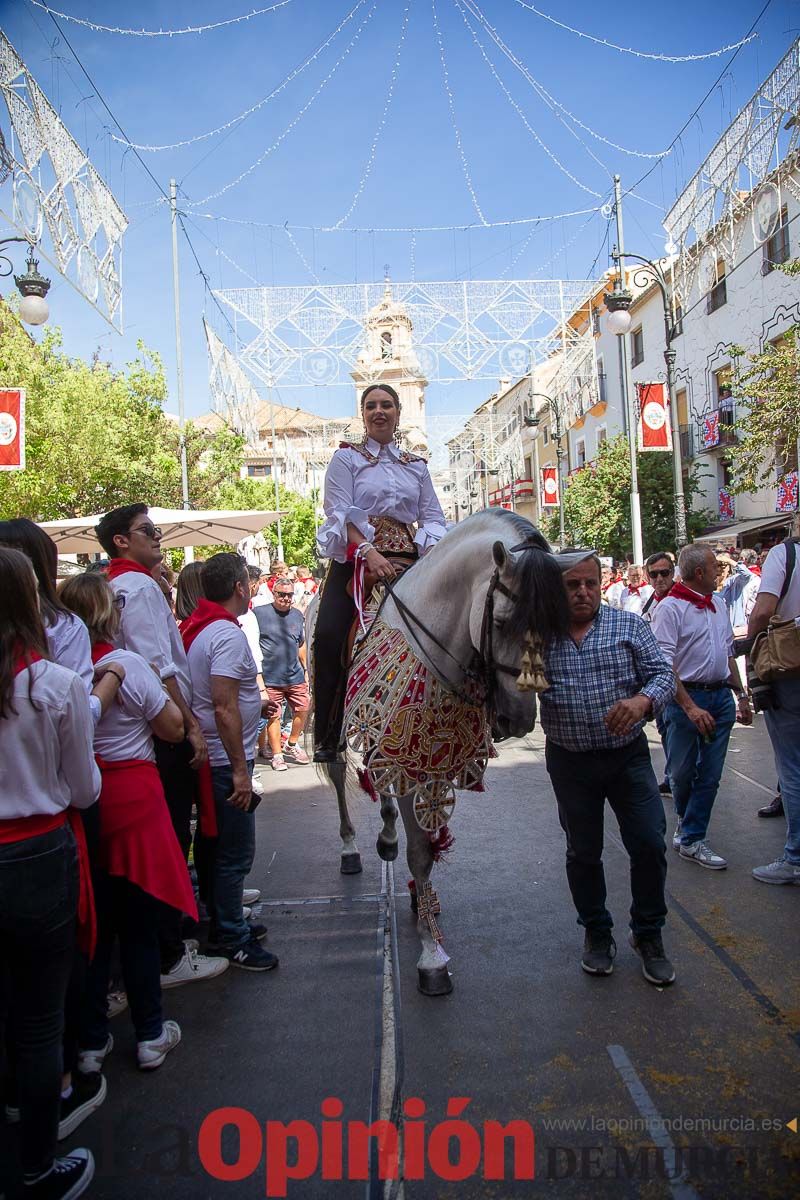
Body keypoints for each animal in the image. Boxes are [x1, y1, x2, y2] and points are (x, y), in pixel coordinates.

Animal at [307, 511, 568, 998]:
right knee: (337, 774)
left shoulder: (426, 759)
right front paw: (431, 957)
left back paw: (386, 834)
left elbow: (425, 842)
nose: (520, 720)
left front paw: (422, 899)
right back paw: (350, 847)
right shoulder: (408, 753)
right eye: (501, 622)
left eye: (555, 624)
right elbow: (421, 854)